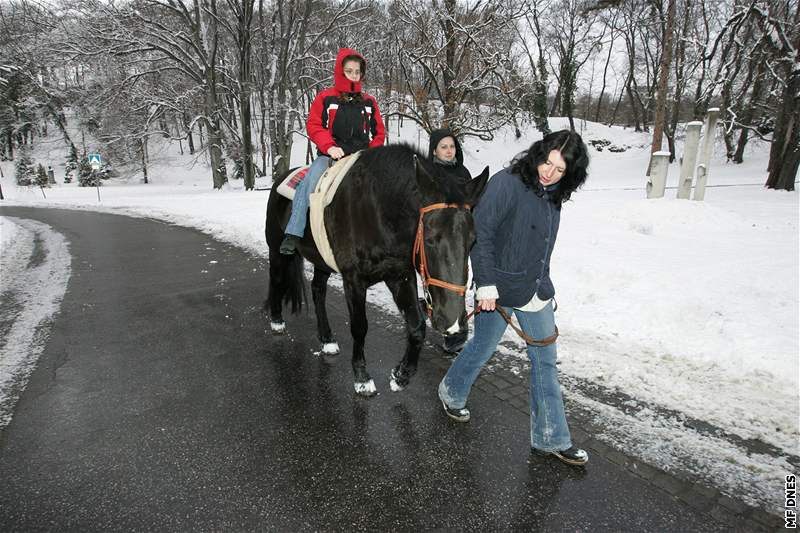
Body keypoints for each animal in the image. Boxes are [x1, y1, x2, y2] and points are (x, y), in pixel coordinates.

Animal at [266, 144, 488, 394]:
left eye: (473, 240)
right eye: (430, 239)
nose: (453, 323)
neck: (379, 212)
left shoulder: (400, 276)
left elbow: (417, 326)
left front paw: (401, 374)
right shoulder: (354, 280)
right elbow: (359, 326)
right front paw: (362, 377)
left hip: (322, 260)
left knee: (318, 291)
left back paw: (327, 339)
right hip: (277, 251)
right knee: (277, 279)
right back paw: (277, 321)